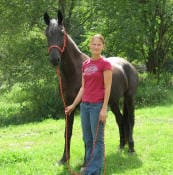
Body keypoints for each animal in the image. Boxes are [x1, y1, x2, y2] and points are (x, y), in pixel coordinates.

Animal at [43, 10, 138, 164]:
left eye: (62, 33)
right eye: (47, 34)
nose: (54, 59)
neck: (74, 72)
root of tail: (128, 64)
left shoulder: (83, 106)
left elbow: (86, 134)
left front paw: (86, 161)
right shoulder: (68, 105)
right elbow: (67, 132)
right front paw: (64, 159)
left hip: (129, 98)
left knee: (130, 120)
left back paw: (130, 148)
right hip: (112, 102)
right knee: (120, 119)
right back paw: (121, 146)